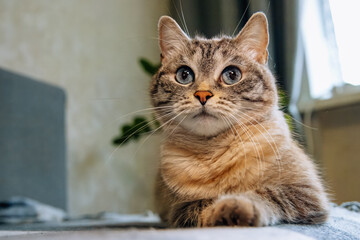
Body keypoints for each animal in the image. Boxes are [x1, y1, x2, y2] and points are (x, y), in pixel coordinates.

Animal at [150, 12, 330, 227]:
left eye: (232, 74)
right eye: (184, 75)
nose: (202, 95)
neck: (213, 153)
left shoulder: (306, 192)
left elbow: (264, 193)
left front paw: (234, 207)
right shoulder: (177, 210)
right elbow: (201, 204)